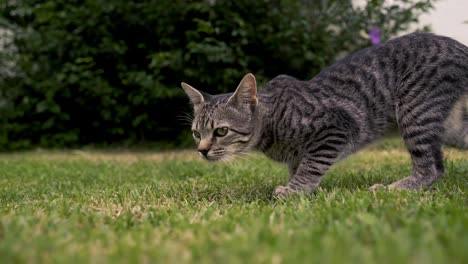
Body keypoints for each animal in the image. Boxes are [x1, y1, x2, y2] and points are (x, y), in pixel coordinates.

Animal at [180, 33, 468, 197]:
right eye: (196, 133)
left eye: (221, 131)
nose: (202, 150)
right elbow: (299, 165)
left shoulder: (336, 128)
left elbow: (311, 165)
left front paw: (295, 190)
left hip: (415, 111)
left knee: (432, 168)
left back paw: (394, 190)